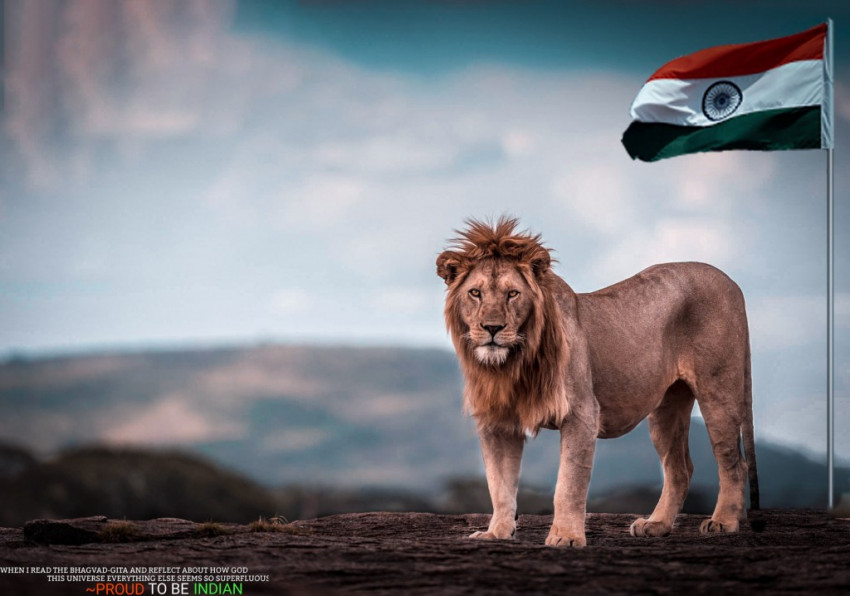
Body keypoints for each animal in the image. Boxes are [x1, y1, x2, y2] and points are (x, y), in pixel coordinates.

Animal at [436, 217, 759, 547]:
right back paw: (655, 525)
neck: (513, 364)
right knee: (680, 469)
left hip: (718, 390)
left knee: (734, 462)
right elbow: (499, 484)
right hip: (667, 408)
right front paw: (496, 533)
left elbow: (569, 483)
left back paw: (723, 521)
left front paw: (566, 536)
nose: (492, 328)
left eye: (512, 294)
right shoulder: (498, 421)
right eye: (475, 293)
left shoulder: (582, 412)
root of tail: (731, 282)